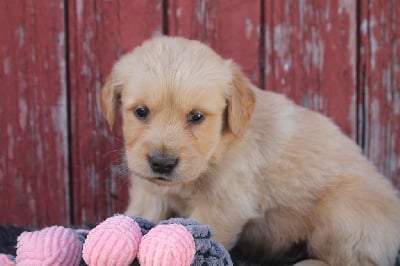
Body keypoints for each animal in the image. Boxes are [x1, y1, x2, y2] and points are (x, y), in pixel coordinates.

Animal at [100, 36, 400, 264]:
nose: (162, 163)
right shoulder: (150, 194)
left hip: (341, 211)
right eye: (141, 112)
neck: (213, 155)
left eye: (196, 117)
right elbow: (137, 216)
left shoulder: (223, 207)